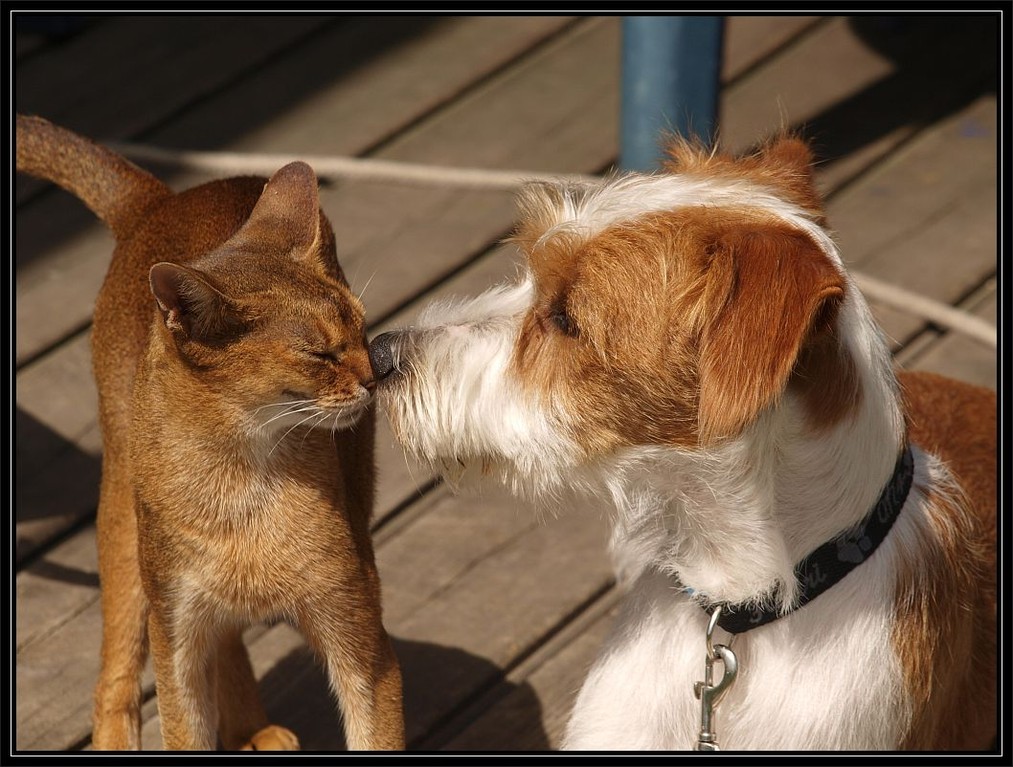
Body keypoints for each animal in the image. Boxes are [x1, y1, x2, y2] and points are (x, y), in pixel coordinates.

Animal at [15, 116, 403, 749]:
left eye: (362, 330)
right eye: (319, 354)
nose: (376, 374)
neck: (240, 478)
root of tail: (160, 200)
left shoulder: (361, 642)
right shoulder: (176, 640)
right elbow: (182, 726)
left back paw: (255, 729)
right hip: (126, 539)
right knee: (114, 677)